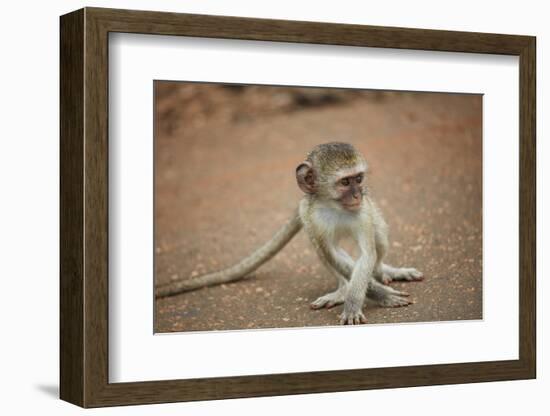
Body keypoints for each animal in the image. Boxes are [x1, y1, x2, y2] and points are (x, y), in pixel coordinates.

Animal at [157, 143, 424, 324]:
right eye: (345, 183)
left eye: (358, 178)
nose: (359, 194)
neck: (333, 206)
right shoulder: (311, 215)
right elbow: (332, 252)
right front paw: (374, 295)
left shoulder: (362, 213)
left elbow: (367, 254)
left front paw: (360, 300)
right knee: (321, 249)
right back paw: (342, 289)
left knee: (378, 241)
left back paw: (383, 271)